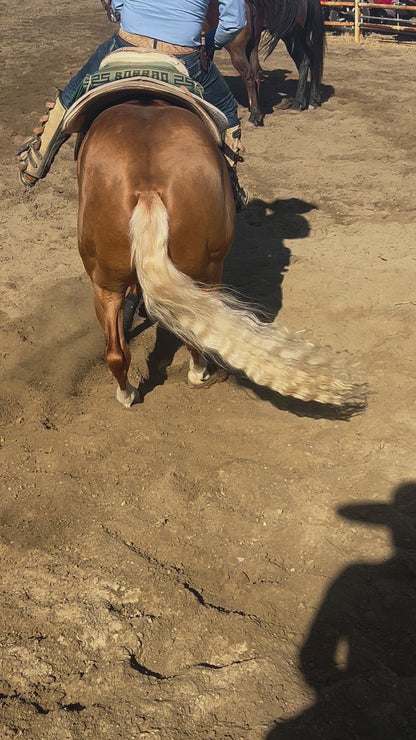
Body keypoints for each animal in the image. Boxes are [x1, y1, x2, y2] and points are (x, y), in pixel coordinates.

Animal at [75, 97, 364, 408]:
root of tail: (147, 187)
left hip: (108, 283)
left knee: (117, 352)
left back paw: (129, 393)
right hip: (200, 272)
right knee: (185, 335)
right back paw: (191, 375)